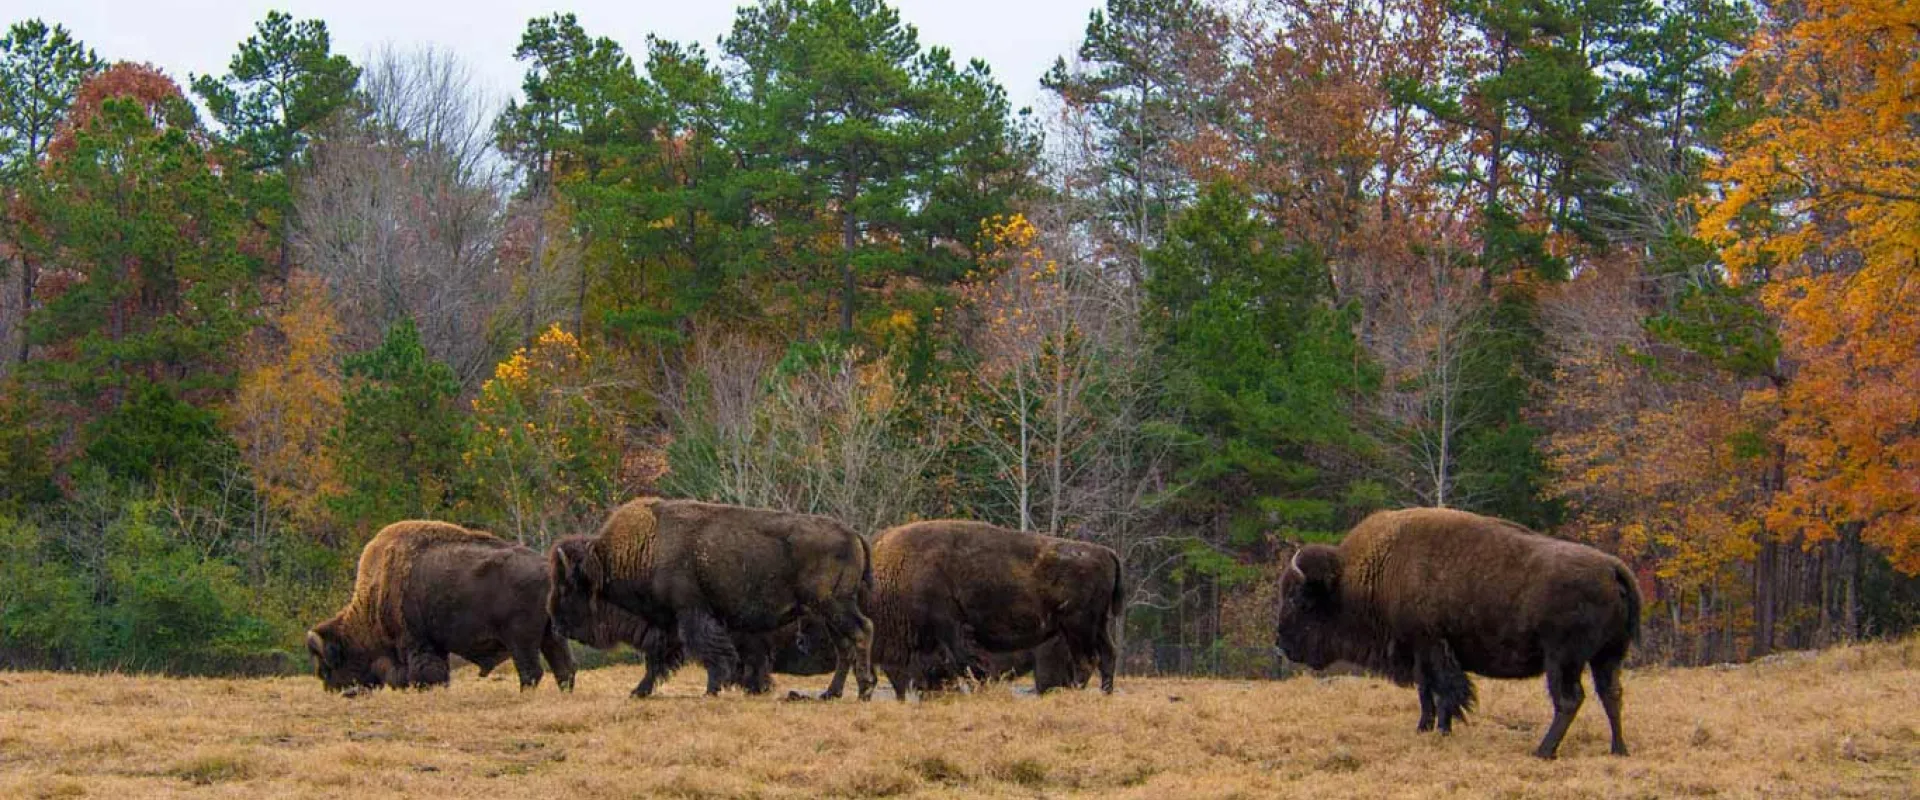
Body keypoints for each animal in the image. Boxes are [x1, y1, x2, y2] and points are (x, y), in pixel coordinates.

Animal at [308, 521, 575, 692]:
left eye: (328, 667)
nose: (334, 690)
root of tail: (548, 568)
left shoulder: (417, 643)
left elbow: (426, 674)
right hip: (551, 636)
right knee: (564, 670)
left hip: (521, 640)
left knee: (531, 672)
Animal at [548, 498, 876, 699]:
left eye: (566, 586)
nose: (556, 623)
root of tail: (854, 535)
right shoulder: (670, 622)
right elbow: (658, 658)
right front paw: (639, 691)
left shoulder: (692, 613)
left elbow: (711, 652)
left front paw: (711, 689)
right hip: (828, 612)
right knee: (845, 646)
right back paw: (831, 693)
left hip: (835, 606)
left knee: (862, 632)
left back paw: (864, 690)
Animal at [867, 520, 1124, 699]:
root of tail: (1106, 552)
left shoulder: (949, 631)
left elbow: (966, 666)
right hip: (1098, 625)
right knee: (1108, 655)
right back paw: (1105, 694)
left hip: (1078, 627)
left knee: (1087, 661)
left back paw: (1076, 693)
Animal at [1274, 507, 1642, 759]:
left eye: (1298, 599)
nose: (1280, 644)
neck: (1373, 572)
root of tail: (1612, 567)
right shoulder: (1421, 652)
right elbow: (1427, 692)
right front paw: (1425, 728)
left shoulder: (1432, 647)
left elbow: (1444, 692)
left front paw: (1441, 730)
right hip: (1607, 657)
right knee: (1611, 695)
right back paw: (1618, 749)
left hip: (1562, 660)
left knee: (1569, 700)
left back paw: (1543, 751)